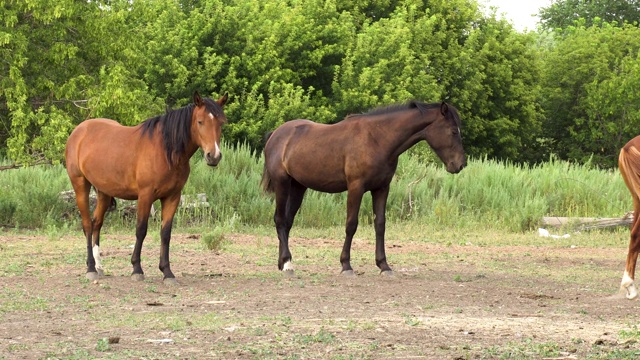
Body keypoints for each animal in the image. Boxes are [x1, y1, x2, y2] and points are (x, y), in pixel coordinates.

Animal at [65, 92, 229, 284]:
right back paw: (90, 268)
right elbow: (141, 230)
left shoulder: (173, 197)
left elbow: (166, 233)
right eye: (200, 121)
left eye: (221, 123)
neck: (166, 150)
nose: (214, 156)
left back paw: (99, 266)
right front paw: (137, 269)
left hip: (104, 192)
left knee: (96, 223)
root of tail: (79, 131)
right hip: (80, 186)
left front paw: (167, 272)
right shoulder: (145, 195)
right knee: (87, 225)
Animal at [260, 100, 464, 276]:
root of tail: (276, 134)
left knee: (287, 222)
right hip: (282, 183)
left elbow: (380, 224)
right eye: (454, 131)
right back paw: (287, 263)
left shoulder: (381, 188)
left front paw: (384, 265)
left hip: (298, 187)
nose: (460, 164)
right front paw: (346, 265)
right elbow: (351, 224)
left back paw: (283, 263)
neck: (377, 139)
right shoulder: (356, 187)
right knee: (280, 220)